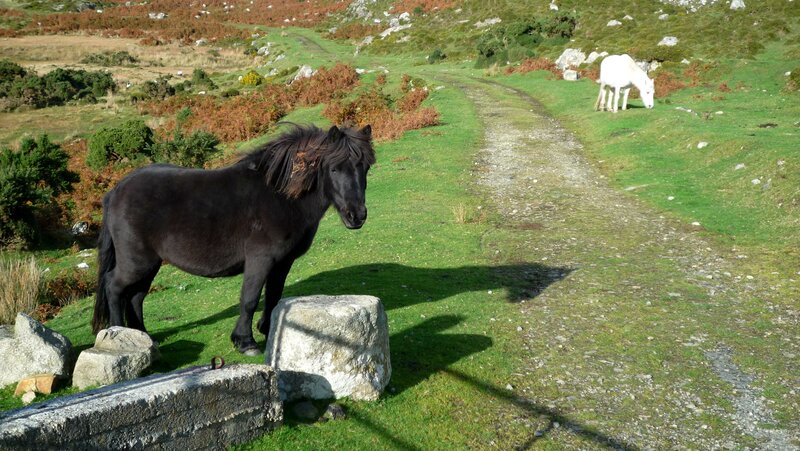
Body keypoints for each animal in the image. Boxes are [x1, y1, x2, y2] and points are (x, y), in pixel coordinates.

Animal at [92, 124, 375, 355]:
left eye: (365, 167)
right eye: (334, 168)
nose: (357, 216)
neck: (280, 196)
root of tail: (116, 191)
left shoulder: (282, 262)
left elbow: (273, 296)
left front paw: (269, 330)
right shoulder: (261, 259)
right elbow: (249, 298)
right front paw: (245, 342)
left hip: (149, 264)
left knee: (136, 296)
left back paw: (144, 337)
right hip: (137, 262)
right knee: (115, 287)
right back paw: (120, 336)